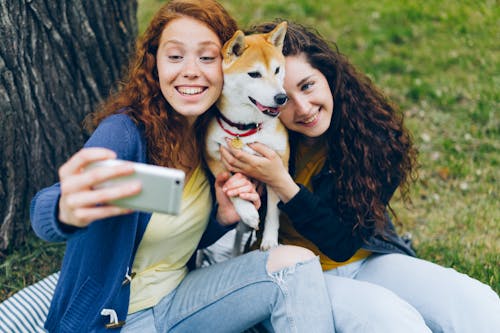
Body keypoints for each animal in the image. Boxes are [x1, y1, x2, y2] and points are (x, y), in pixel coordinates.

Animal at [204, 21, 290, 252]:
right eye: (254, 74)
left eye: (277, 70)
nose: (282, 97)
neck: (245, 129)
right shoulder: (214, 155)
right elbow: (230, 186)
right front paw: (248, 212)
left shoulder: (278, 162)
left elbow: (273, 210)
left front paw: (269, 239)